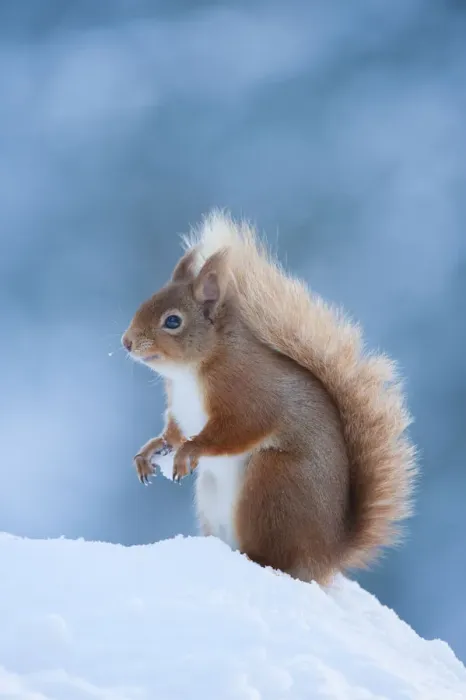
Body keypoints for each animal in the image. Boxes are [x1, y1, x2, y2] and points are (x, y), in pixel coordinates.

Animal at [122, 211, 417, 584]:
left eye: (172, 321)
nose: (126, 342)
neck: (189, 373)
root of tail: (323, 557)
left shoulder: (246, 391)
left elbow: (238, 429)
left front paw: (189, 451)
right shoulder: (178, 408)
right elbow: (172, 433)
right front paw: (150, 451)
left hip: (273, 487)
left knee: (272, 557)